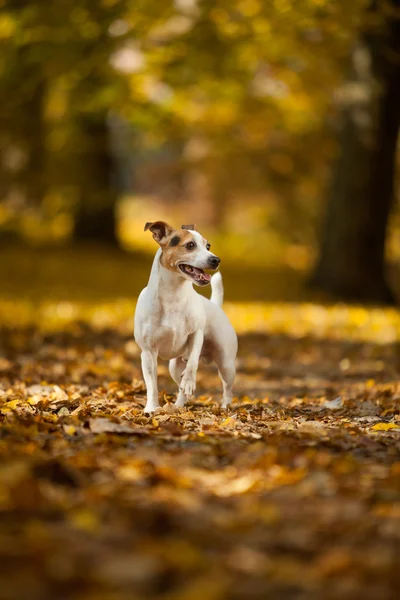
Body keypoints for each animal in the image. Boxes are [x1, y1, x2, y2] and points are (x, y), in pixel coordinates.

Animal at [135, 220, 238, 412]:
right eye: (190, 245)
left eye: (208, 246)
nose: (216, 259)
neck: (173, 296)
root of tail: (214, 305)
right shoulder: (148, 352)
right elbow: (152, 384)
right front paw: (151, 408)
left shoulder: (196, 335)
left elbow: (193, 364)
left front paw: (190, 381)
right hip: (174, 366)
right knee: (180, 387)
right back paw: (178, 406)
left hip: (226, 363)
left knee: (227, 388)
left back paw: (225, 406)